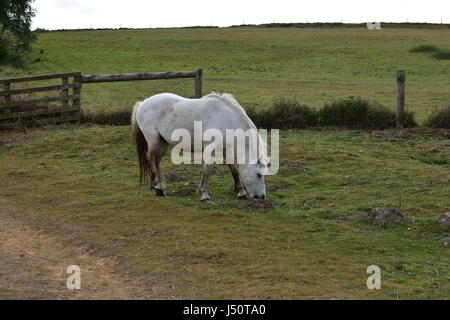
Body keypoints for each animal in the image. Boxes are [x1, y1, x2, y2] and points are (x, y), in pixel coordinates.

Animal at [132, 92, 268, 201]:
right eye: (259, 174)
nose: (261, 196)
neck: (225, 118)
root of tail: (142, 103)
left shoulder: (225, 148)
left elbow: (233, 168)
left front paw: (241, 192)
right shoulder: (210, 148)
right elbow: (207, 170)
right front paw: (204, 195)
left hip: (162, 143)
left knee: (156, 161)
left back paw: (156, 186)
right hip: (154, 141)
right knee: (150, 158)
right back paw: (159, 189)